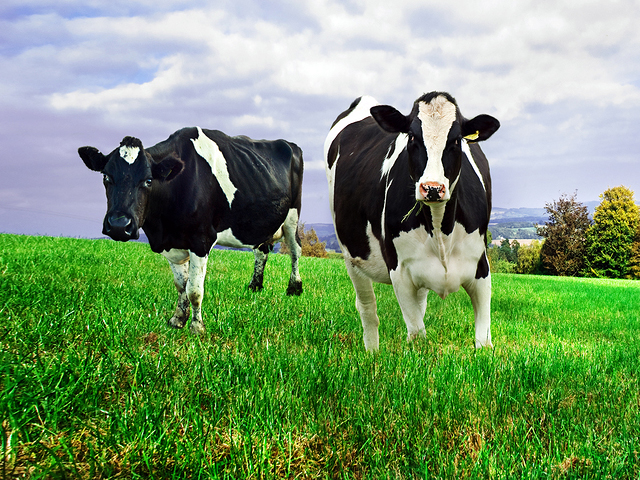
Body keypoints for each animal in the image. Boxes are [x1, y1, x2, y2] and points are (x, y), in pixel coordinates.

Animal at [79, 127, 304, 335]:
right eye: (106, 177)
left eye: (148, 180)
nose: (119, 225)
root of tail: (289, 144)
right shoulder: (172, 244)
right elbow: (181, 286)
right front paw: (178, 319)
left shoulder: (201, 240)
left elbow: (194, 290)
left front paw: (196, 327)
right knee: (261, 251)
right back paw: (255, 286)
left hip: (292, 215)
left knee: (295, 250)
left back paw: (294, 288)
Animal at [325, 92, 500, 351]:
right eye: (413, 137)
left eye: (456, 140)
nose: (432, 188)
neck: (441, 231)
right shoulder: (400, 271)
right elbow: (417, 335)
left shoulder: (481, 267)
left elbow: (483, 340)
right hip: (351, 254)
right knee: (367, 307)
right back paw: (372, 352)